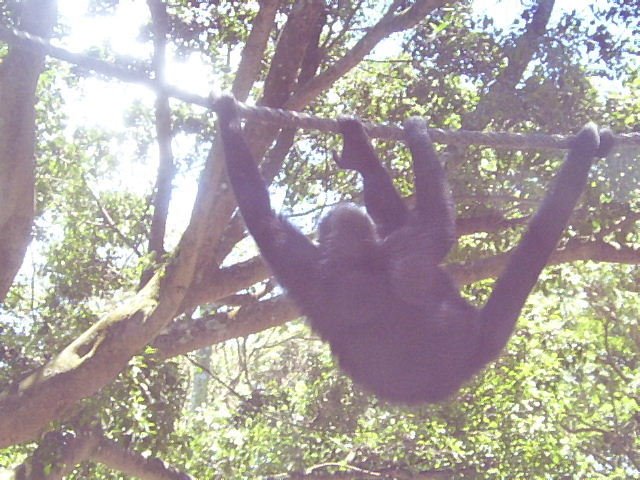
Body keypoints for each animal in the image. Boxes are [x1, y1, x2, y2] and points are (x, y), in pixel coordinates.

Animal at [212, 96, 612, 404]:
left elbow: (261, 216)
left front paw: (227, 118)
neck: (359, 261)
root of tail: (476, 350)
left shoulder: (320, 265)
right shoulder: (376, 256)